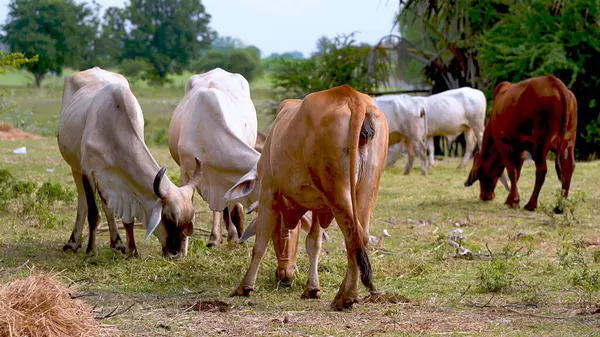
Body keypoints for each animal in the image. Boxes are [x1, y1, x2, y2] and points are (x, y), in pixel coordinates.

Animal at [57, 67, 200, 256]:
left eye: (188, 220)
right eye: (168, 219)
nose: (176, 254)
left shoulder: (121, 181)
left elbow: (126, 216)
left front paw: (132, 250)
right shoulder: (88, 171)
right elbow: (93, 214)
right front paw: (90, 250)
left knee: (107, 206)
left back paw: (116, 243)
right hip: (75, 166)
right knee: (82, 202)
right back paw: (73, 242)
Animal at [223, 84, 386, 310]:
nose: (284, 274)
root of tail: (352, 97)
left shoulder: (268, 193)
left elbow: (260, 243)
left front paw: (245, 286)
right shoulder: (320, 207)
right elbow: (313, 244)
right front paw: (312, 288)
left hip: (338, 192)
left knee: (354, 235)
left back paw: (347, 296)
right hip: (366, 191)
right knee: (359, 237)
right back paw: (343, 294)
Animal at [464, 75, 576, 213]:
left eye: (480, 173)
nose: (485, 196)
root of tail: (557, 83)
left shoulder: (504, 145)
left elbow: (512, 172)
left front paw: (514, 201)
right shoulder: (521, 150)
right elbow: (517, 172)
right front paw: (510, 199)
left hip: (540, 144)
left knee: (541, 170)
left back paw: (531, 204)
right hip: (568, 142)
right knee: (568, 168)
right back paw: (560, 206)